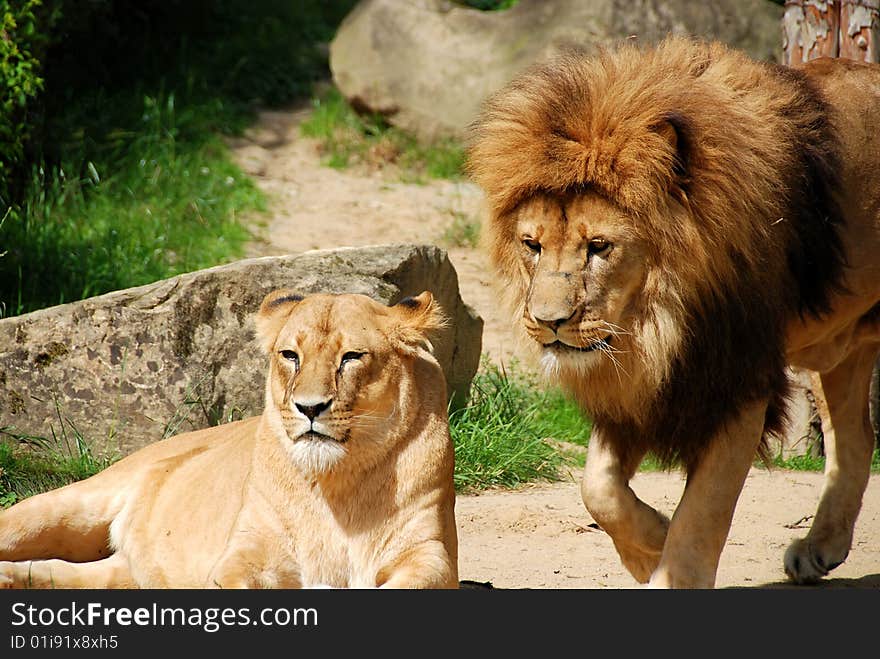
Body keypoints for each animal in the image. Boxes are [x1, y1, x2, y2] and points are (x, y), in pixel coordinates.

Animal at [1, 292, 460, 592]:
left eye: (351, 356)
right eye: (290, 355)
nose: (309, 407)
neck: (336, 481)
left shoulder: (430, 555)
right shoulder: (247, 554)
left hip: (128, 576)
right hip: (66, 506)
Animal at [468, 38, 880, 592]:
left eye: (599, 246)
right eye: (532, 245)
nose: (548, 322)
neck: (657, 324)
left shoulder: (734, 380)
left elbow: (702, 512)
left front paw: (669, 557)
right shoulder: (636, 388)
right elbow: (597, 486)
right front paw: (650, 545)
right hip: (839, 346)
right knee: (856, 439)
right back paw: (820, 549)